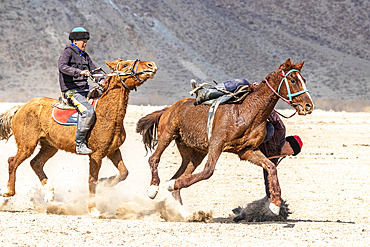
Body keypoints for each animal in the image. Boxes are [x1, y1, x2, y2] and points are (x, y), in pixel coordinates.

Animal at [0, 58, 157, 215]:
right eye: (125, 65)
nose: (151, 65)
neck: (106, 115)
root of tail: (21, 107)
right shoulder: (96, 155)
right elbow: (92, 180)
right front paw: (93, 209)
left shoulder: (113, 151)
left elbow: (123, 172)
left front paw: (104, 182)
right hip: (27, 145)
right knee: (13, 162)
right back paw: (7, 192)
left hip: (49, 146)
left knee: (36, 163)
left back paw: (49, 194)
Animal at [137, 58, 314, 217]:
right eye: (293, 80)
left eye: (304, 80)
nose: (309, 106)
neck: (248, 111)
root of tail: (168, 108)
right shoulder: (217, 143)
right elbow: (208, 171)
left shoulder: (247, 151)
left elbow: (271, 167)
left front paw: (275, 205)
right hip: (167, 134)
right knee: (154, 159)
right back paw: (153, 189)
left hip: (194, 153)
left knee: (179, 175)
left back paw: (184, 213)